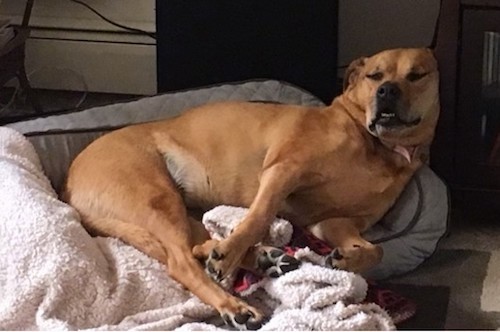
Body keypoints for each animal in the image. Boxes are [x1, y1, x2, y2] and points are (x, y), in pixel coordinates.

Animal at [63, 47, 442, 330]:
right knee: (181, 262)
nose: (387, 91)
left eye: (416, 75)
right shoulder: (282, 171)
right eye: (374, 76)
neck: (377, 145)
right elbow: (258, 217)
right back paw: (237, 304)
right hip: (157, 200)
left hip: (180, 209)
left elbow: (375, 250)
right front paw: (233, 252)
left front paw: (346, 258)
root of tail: (69, 184)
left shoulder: (335, 222)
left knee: (195, 245)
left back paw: (265, 258)